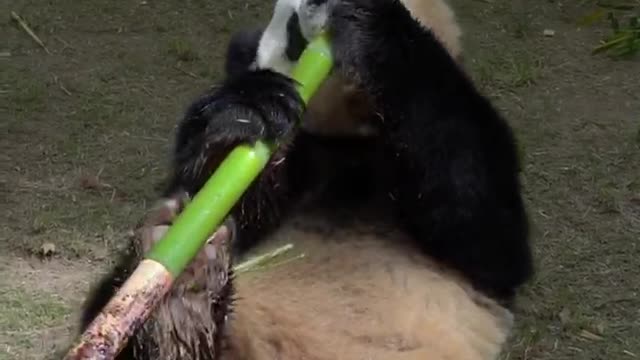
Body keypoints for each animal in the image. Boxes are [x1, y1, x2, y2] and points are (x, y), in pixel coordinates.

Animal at [76, 0, 536, 360]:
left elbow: (484, 228)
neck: (356, 135)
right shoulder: (305, 155)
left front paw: (373, 25)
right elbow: (235, 193)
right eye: (292, 34)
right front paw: (243, 114)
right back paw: (182, 299)